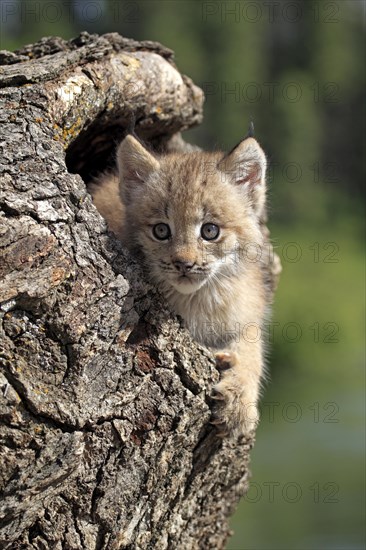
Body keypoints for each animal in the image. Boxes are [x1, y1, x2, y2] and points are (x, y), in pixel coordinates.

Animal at [91, 133, 268, 436]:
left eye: (210, 231)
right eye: (161, 231)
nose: (184, 264)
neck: (198, 297)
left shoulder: (246, 308)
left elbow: (252, 347)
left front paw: (239, 401)